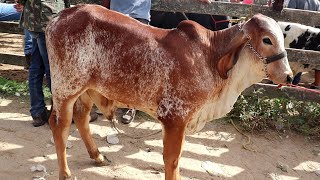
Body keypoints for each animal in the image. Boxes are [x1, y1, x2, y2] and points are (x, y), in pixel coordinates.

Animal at [45, 3, 292, 179]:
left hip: (86, 89)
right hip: (65, 88)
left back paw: (97, 156)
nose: (289, 76)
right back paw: (65, 173)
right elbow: (172, 160)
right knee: (59, 125)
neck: (211, 56)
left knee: (81, 118)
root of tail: (59, 16)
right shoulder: (175, 117)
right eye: (267, 40)